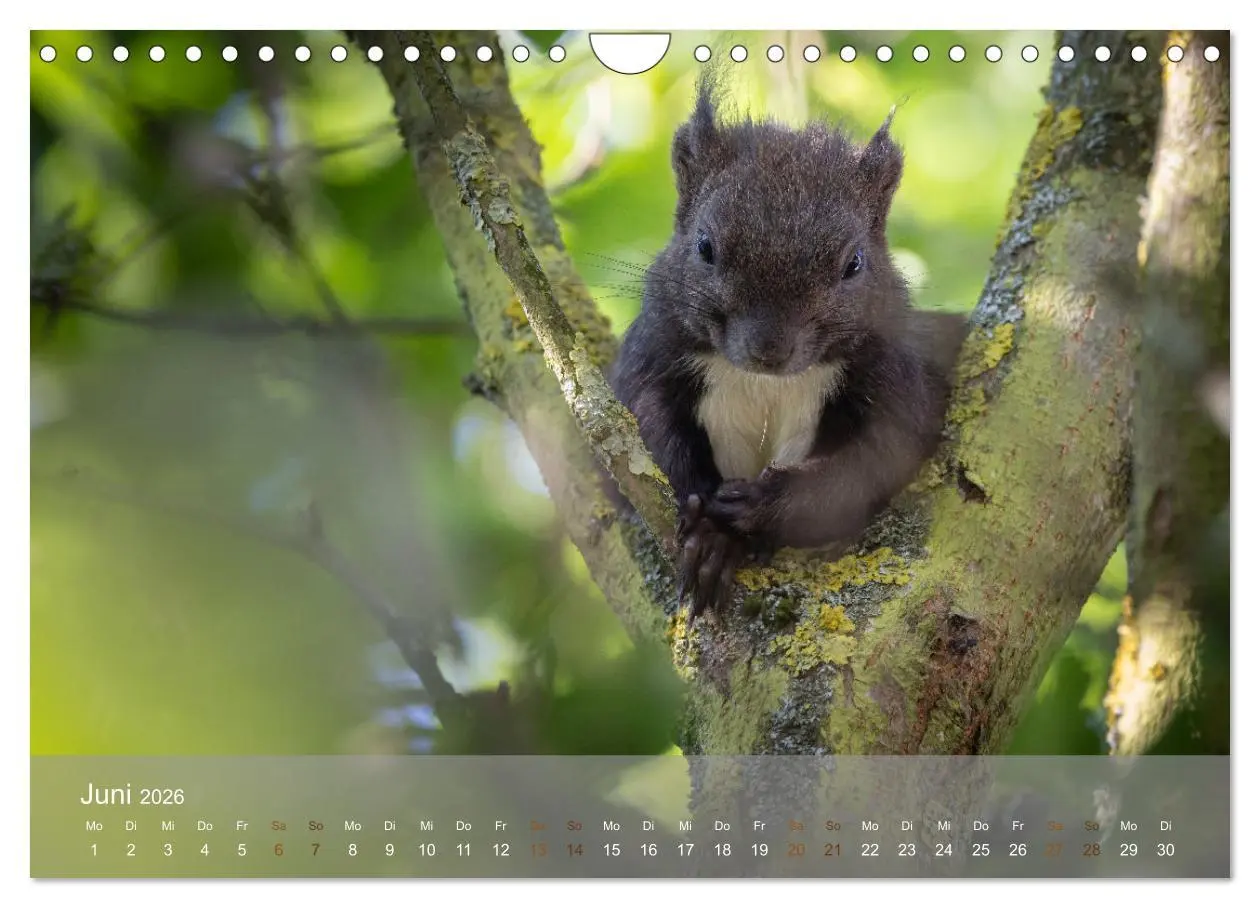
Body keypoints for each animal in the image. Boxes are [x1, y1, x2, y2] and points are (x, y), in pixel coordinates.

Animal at [610, 77, 968, 622]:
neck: (765, 383)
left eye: (854, 263)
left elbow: (867, 466)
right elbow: (647, 433)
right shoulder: (650, 359)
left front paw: (759, 506)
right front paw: (706, 530)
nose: (769, 349)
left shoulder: (897, 384)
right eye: (704, 247)